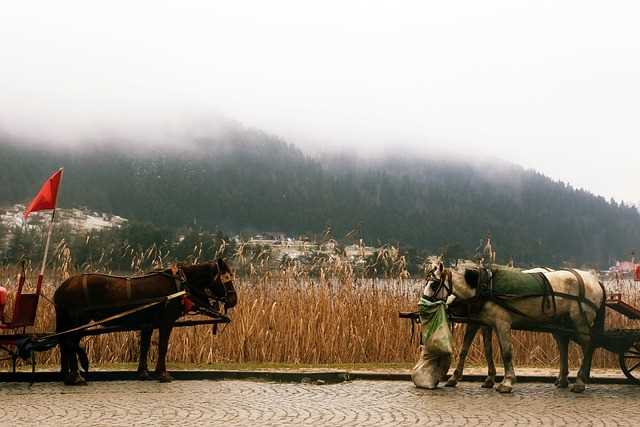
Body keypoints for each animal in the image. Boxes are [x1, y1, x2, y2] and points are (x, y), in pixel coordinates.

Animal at [53, 260, 236, 386]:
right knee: (70, 343)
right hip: (78, 320)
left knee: (65, 343)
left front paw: (143, 373)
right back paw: (76, 377)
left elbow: (145, 346)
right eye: (227, 278)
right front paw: (162, 374)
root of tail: (62, 288)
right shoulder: (166, 322)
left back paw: (67, 375)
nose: (234, 300)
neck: (179, 284)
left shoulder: (148, 324)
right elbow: (162, 346)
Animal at [420, 260, 604, 394]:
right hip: (560, 324)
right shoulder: (484, 322)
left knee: (588, 345)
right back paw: (564, 380)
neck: (482, 288)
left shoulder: (501, 322)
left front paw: (506, 382)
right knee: (565, 344)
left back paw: (580, 381)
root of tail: (595, 280)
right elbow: (479, 349)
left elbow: (506, 352)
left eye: (434, 285)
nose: (422, 307)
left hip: (580, 322)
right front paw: (472, 378)